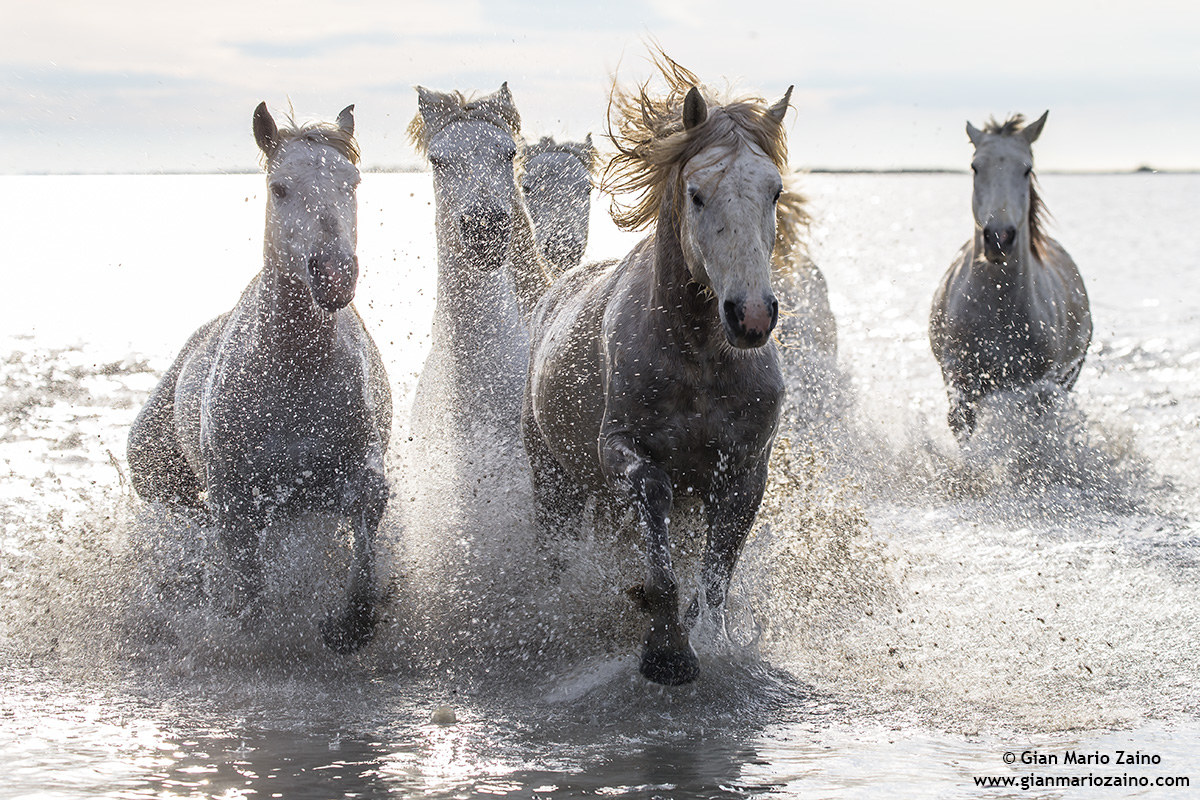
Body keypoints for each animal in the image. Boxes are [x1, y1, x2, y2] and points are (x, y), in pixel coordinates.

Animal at [126, 103, 391, 653]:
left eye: (352, 182)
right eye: (280, 188)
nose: (334, 274)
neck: (293, 374)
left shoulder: (354, 466)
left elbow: (369, 503)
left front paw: (350, 623)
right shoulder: (233, 496)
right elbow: (248, 585)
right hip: (158, 477)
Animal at [930, 111, 1091, 440]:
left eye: (1027, 169)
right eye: (975, 167)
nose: (999, 237)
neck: (998, 307)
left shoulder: (1036, 390)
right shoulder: (959, 380)